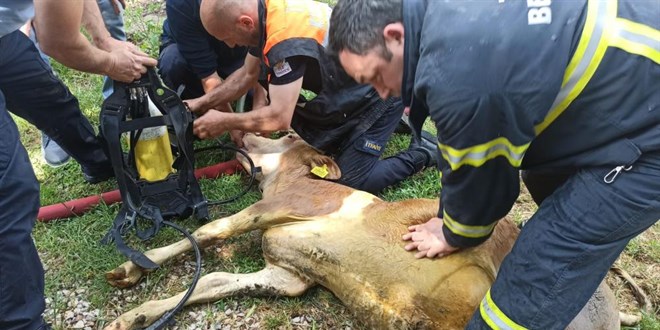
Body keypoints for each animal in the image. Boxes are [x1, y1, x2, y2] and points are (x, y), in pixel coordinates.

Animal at [103, 133, 620, 328]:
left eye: (287, 135)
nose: (242, 134)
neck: (289, 181)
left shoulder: (279, 208)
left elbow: (210, 231)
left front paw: (131, 268)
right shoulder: (288, 276)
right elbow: (213, 280)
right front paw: (136, 316)